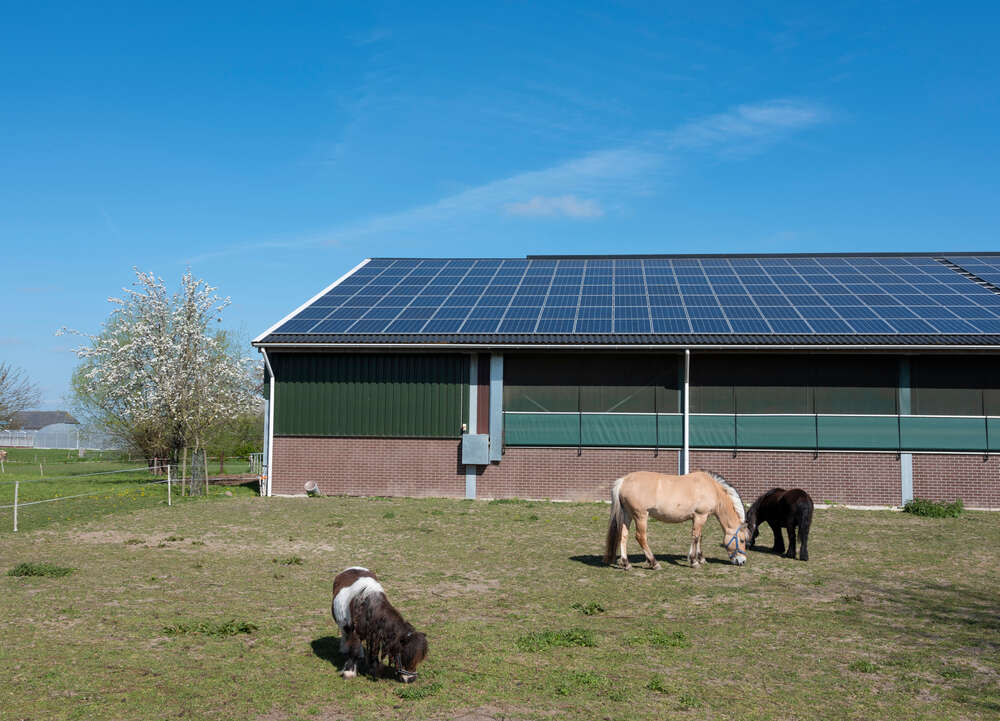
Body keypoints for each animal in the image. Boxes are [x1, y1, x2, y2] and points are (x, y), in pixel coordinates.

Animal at [600, 470, 752, 572]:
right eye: (742, 540)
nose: (742, 561)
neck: (712, 489)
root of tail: (624, 480)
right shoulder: (700, 516)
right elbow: (695, 537)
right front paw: (694, 561)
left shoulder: (699, 518)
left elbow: (699, 537)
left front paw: (701, 558)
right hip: (641, 516)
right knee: (640, 537)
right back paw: (654, 563)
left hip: (628, 515)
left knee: (623, 536)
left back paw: (626, 564)